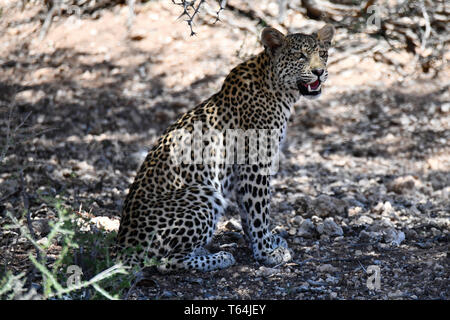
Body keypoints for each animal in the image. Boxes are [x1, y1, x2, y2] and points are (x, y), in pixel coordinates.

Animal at [116, 23, 334, 272]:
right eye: (300, 56)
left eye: (323, 54)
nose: (319, 72)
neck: (278, 89)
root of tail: (121, 247)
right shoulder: (254, 165)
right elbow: (259, 211)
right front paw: (267, 252)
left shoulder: (244, 172)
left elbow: (248, 213)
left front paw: (263, 243)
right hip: (203, 193)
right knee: (164, 261)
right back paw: (219, 257)